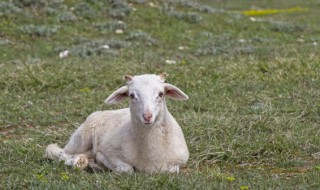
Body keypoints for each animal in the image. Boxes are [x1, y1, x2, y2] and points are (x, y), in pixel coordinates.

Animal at [45, 73, 190, 174]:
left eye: (161, 94)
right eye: (131, 95)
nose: (147, 116)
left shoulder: (178, 162)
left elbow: (172, 170)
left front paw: (97, 164)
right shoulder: (109, 151)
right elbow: (127, 169)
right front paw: (102, 162)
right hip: (81, 138)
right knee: (57, 152)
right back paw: (77, 161)